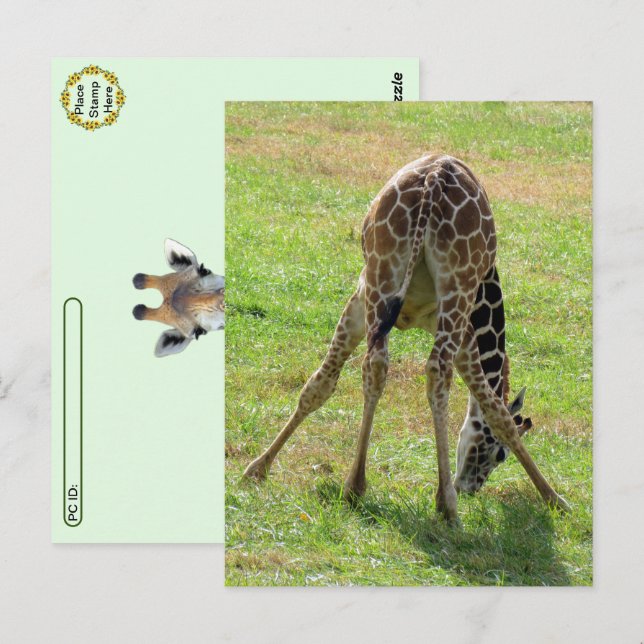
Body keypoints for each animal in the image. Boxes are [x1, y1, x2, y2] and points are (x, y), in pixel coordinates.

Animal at [243, 154, 569, 522]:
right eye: (498, 455)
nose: (470, 487)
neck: (485, 300)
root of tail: (434, 183)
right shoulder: (464, 332)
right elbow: (498, 413)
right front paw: (555, 499)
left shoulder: (360, 299)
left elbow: (318, 386)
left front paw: (257, 468)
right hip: (453, 291)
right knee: (436, 371)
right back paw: (446, 505)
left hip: (382, 275)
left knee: (376, 364)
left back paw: (355, 485)